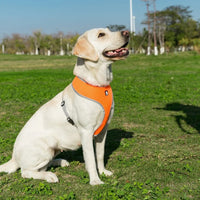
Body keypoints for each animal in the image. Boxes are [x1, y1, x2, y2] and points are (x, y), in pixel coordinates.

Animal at [0, 27, 129, 184]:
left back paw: (59, 162)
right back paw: (49, 176)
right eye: (101, 35)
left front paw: (103, 172)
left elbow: (99, 155)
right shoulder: (86, 131)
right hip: (45, 148)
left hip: (53, 149)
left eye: (109, 30)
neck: (98, 85)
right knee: (26, 172)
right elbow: (91, 159)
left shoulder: (102, 131)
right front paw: (95, 181)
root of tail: (14, 157)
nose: (127, 32)